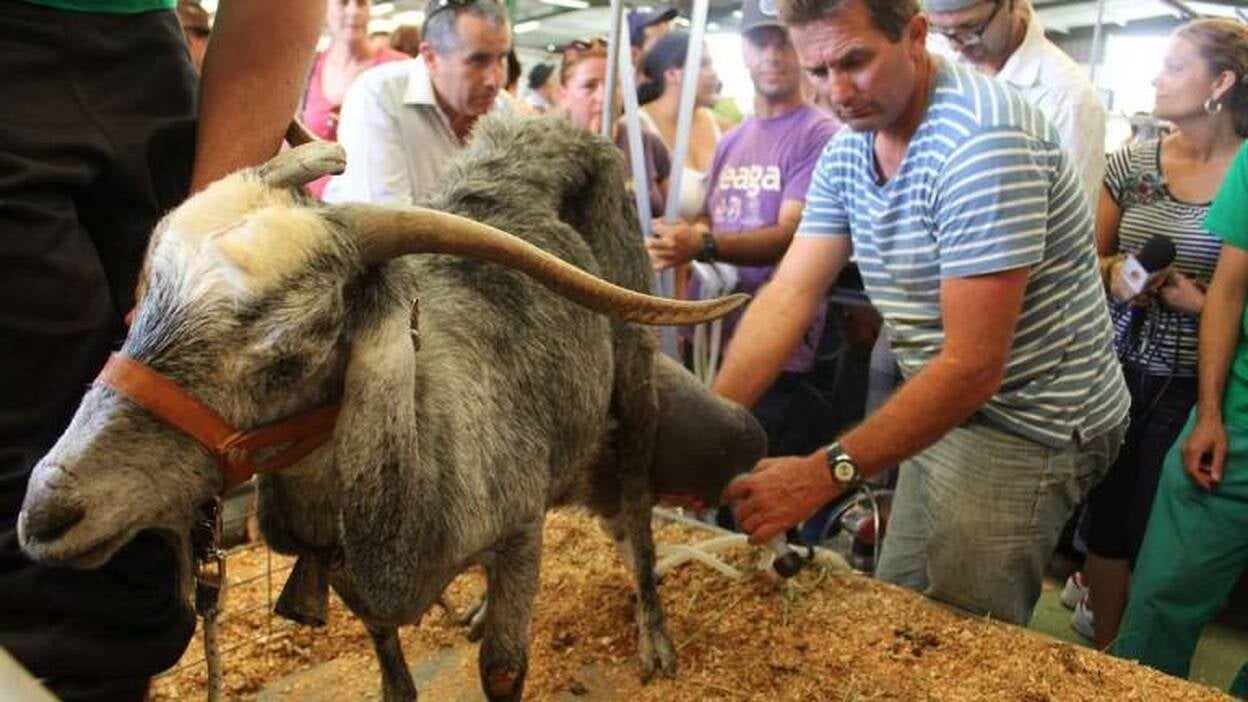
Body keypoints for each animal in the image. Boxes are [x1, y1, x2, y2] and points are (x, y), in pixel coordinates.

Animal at [17, 115, 762, 701]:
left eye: (289, 354)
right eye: (140, 300)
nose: (47, 514)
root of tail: (547, 127)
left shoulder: (521, 535)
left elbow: (503, 668)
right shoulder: (354, 578)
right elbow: (391, 670)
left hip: (634, 376)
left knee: (635, 507)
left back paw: (655, 639)